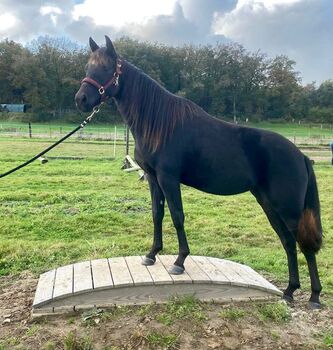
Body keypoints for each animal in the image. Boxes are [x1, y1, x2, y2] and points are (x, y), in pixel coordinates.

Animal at [75, 36, 322, 306]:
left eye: (106, 67)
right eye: (87, 67)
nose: (81, 99)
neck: (159, 124)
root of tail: (301, 156)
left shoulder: (168, 178)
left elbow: (177, 216)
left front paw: (179, 261)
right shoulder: (152, 178)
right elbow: (157, 214)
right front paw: (151, 254)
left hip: (288, 209)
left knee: (303, 244)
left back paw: (314, 296)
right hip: (268, 204)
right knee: (288, 242)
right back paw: (289, 291)